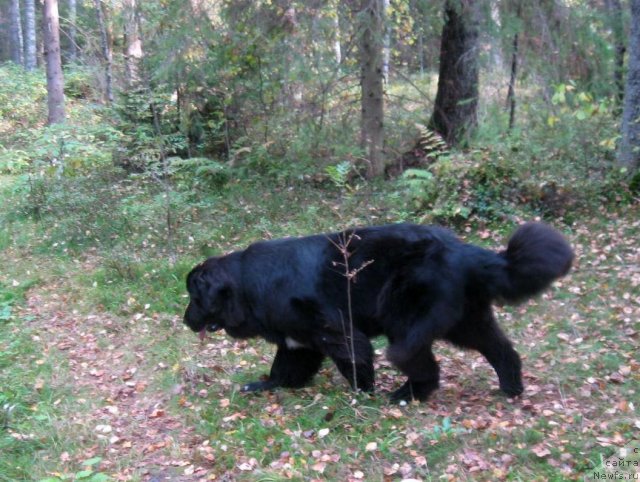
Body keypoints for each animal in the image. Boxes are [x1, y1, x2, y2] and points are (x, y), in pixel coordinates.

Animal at [182, 223, 572, 402]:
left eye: (195, 297)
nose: (185, 320)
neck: (248, 286)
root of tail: (466, 251)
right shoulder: (298, 341)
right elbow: (285, 368)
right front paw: (264, 385)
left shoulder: (333, 329)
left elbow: (355, 357)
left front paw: (362, 394)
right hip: (467, 321)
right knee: (502, 350)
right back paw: (511, 389)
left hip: (406, 321)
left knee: (421, 362)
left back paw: (405, 394)